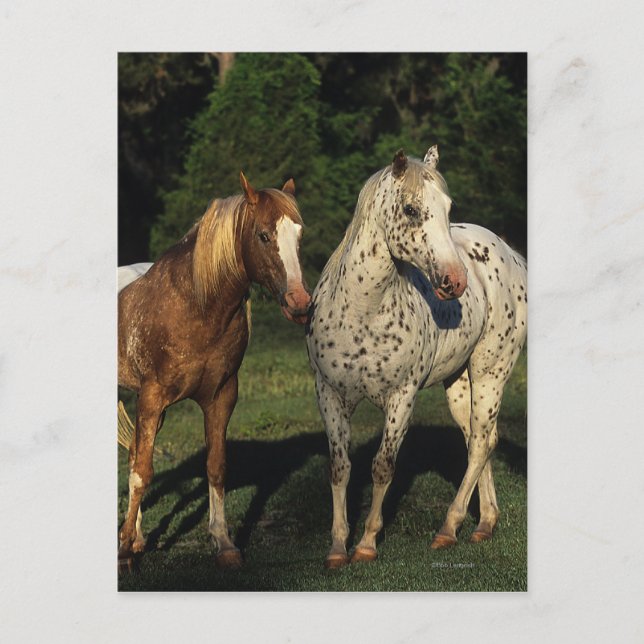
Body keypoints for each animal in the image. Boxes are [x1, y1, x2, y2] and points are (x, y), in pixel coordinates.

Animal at [118, 172, 311, 571]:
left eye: (299, 235)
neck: (195, 305)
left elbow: (216, 466)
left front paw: (223, 543)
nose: (300, 304)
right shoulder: (153, 397)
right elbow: (143, 472)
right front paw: (123, 554)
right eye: (263, 235)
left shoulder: (220, 396)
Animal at [306, 146, 527, 568]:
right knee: (480, 440)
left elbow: (382, 467)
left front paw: (367, 543)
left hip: (490, 373)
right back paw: (484, 523)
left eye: (448, 207)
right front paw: (337, 548)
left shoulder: (401, 399)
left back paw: (448, 528)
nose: (455, 281)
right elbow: (340, 468)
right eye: (410, 209)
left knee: (479, 444)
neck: (362, 310)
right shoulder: (329, 396)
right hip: (459, 383)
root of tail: (511, 254)